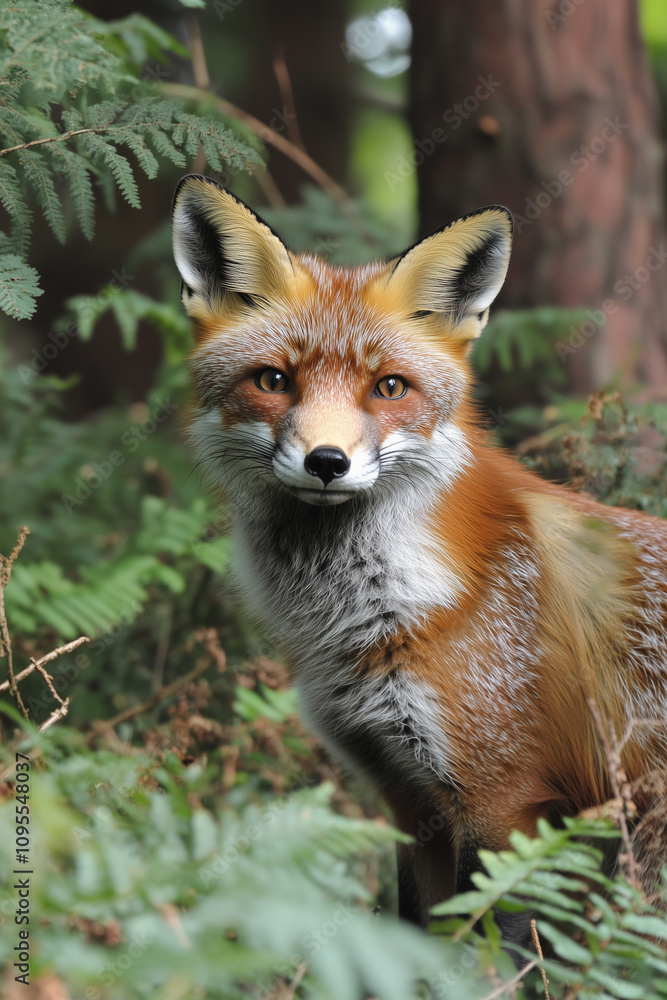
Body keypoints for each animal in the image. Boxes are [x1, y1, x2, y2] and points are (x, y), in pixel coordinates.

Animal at [172, 173, 667, 935]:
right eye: (274, 381)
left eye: (389, 388)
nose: (326, 462)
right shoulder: (408, 799)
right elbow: (418, 939)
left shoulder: (505, 803)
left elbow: (488, 947)